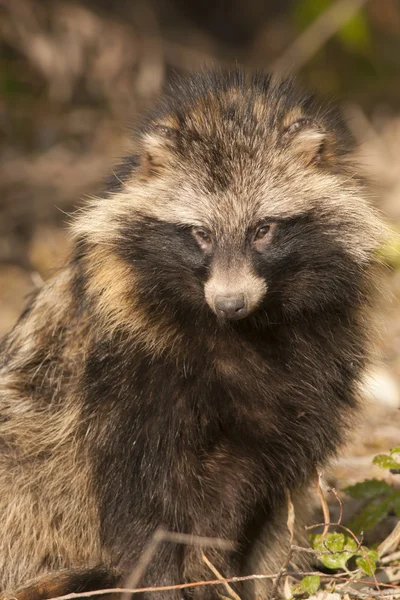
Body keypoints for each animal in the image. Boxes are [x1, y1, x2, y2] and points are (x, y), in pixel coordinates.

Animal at [0, 71, 388, 600]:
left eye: (263, 229)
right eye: (199, 233)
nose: (229, 302)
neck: (241, 332)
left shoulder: (310, 374)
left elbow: (259, 482)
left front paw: (231, 578)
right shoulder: (124, 371)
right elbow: (138, 503)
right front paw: (159, 582)